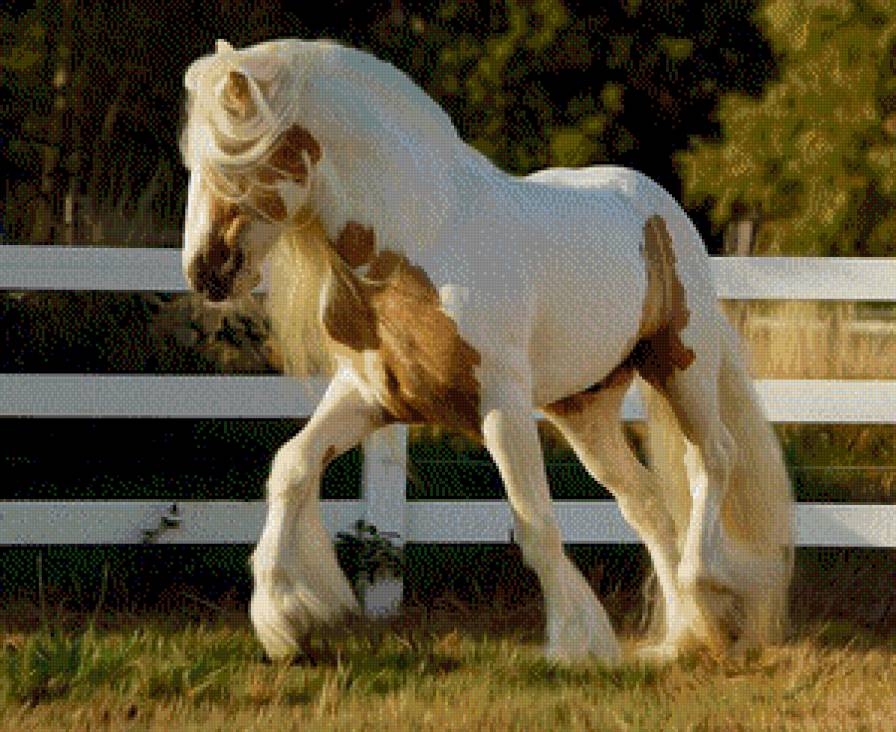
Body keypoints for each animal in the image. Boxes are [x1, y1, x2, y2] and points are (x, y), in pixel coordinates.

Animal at [180, 37, 792, 664]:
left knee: (712, 460)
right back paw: (682, 638)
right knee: (645, 502)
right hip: (584, 410)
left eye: (234, 161)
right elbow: (292, 465)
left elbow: (535, 522)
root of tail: (659, 205)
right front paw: (283, 622)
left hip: (680, 366)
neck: (420, 237)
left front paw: (573, 645)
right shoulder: (369, 396)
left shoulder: (502, 403)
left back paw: (710, 592)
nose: (204, 272)